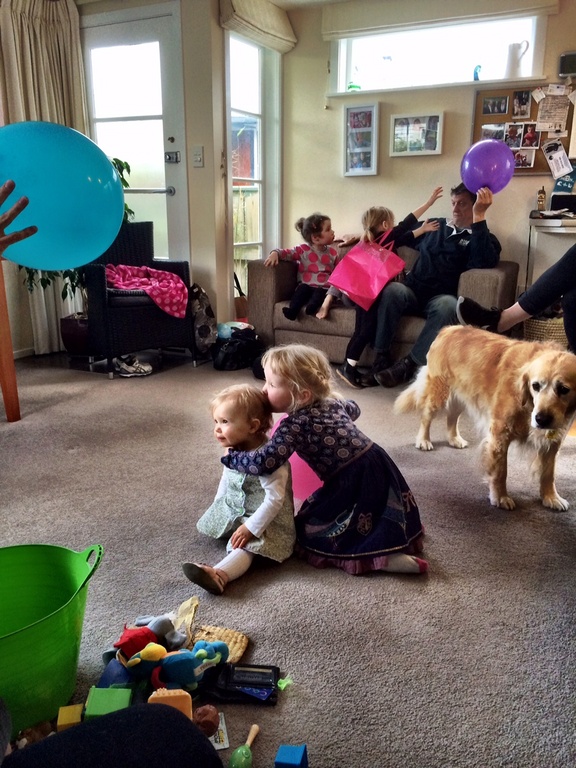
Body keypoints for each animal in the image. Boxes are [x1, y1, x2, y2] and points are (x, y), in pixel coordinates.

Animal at [394, 325, 576, 510]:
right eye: (536, 386)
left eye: (564, 389)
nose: (541, 419)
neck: (527, 404)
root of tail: (449, 328)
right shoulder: (500, 434)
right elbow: (501, 471)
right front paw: (500, 497)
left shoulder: (553, 441)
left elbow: (549, 473)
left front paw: (551, 497)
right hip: (439, 392)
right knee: (426, 416)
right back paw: (423, 440)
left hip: (463, 395)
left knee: (452, 417)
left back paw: (454, 439)